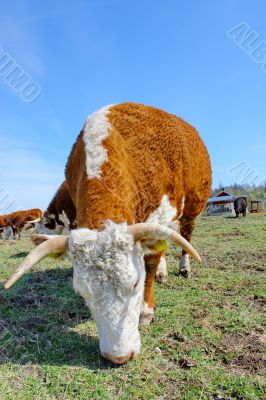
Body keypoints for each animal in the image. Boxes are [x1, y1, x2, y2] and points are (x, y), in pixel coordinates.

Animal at [4, 104, 212, 366]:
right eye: (81, 292)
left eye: (134, 284)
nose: (119, 356)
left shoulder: (162, 213)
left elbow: (150, 263)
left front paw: (146, 310)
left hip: (191, 208)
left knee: (185, 235)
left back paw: (184, 267)